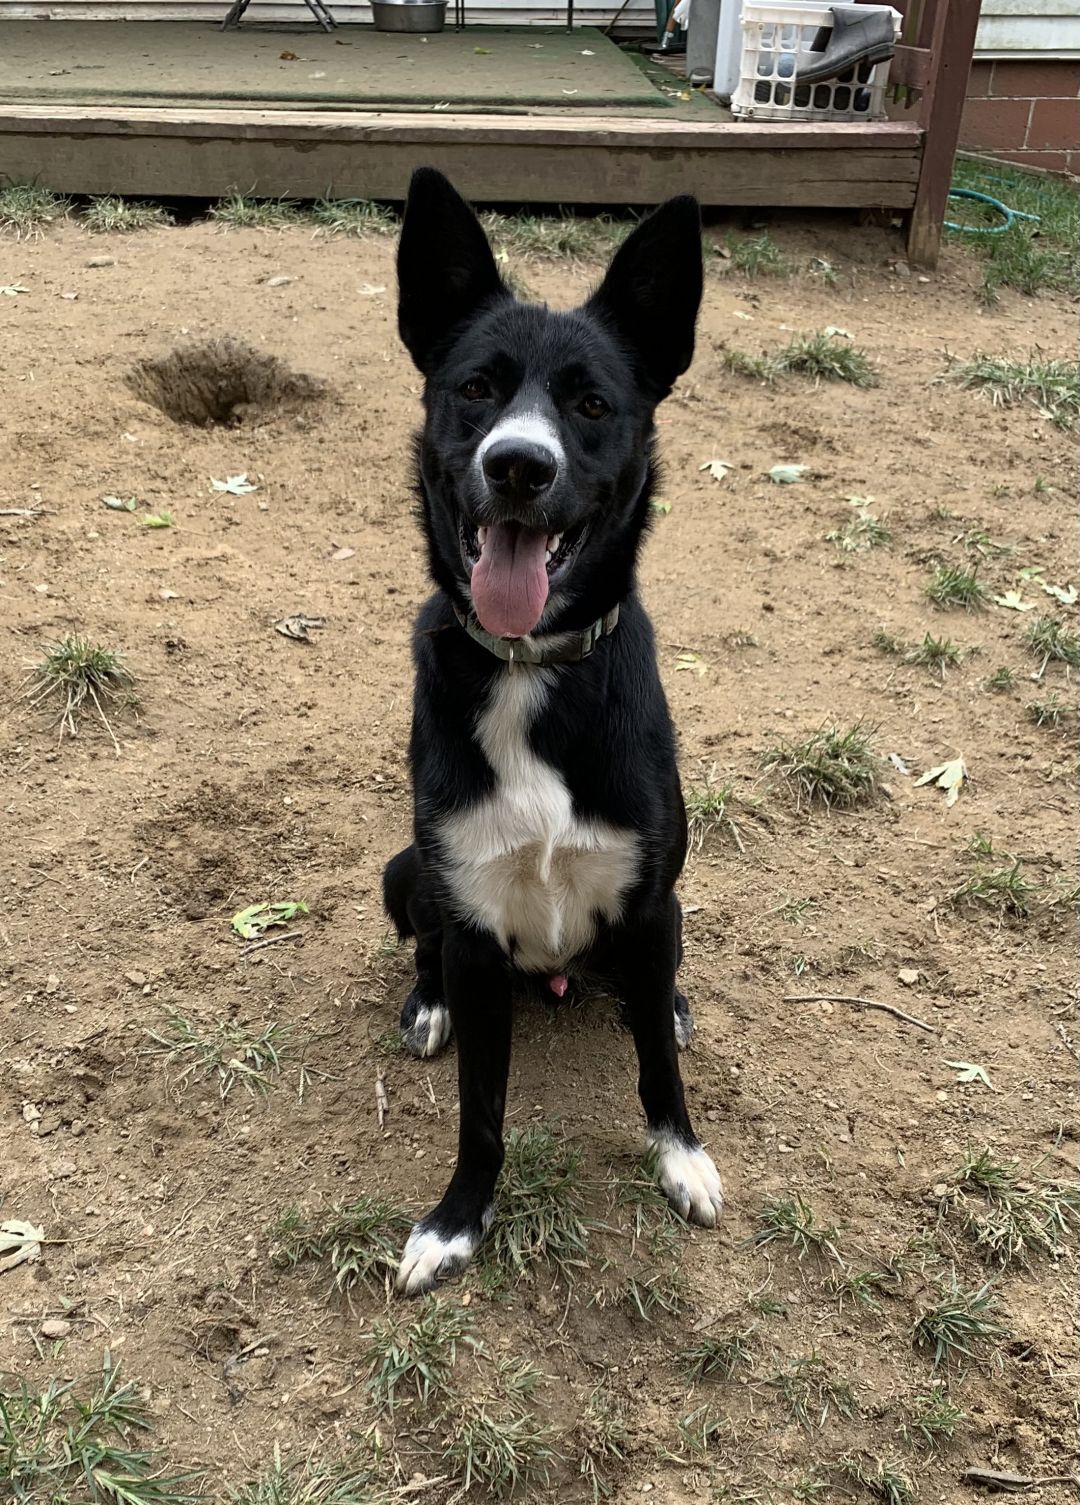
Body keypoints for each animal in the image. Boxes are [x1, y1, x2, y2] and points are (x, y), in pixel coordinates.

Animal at [385, 167, 722, 1294]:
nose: (520, 467)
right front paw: (455, 1221)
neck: (531, 669)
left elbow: (658, 1071)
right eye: (475, 389)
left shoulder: (653, 899)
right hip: (407, 870)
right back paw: (426, 1006)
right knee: (422, 944)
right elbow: (480, 1115)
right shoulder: (475, 922)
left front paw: (681, 1155)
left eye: (591, 404)